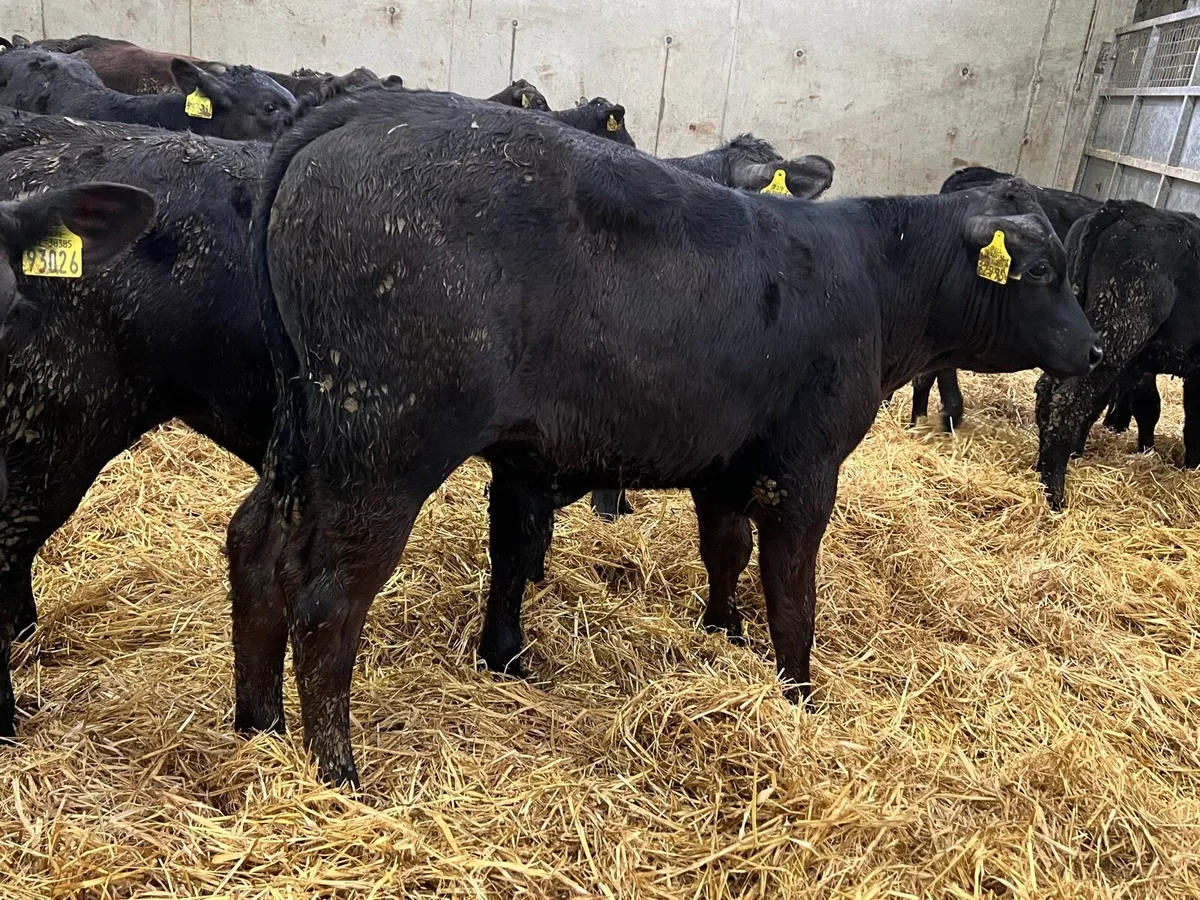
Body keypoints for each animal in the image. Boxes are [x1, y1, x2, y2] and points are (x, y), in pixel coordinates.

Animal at [228, 86, 1101, 784]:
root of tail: (366, 111)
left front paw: (723, 631)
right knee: (327, 600)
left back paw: (259, 725)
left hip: (306, 437)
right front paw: (799, 694)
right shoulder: (803, 468)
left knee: (254, 544)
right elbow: (793, 593)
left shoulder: (726, 462)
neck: (872, 277)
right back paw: (339, 770)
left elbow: (726, 551)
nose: (1094, 351)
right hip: (386, 447)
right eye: (1043, 272)